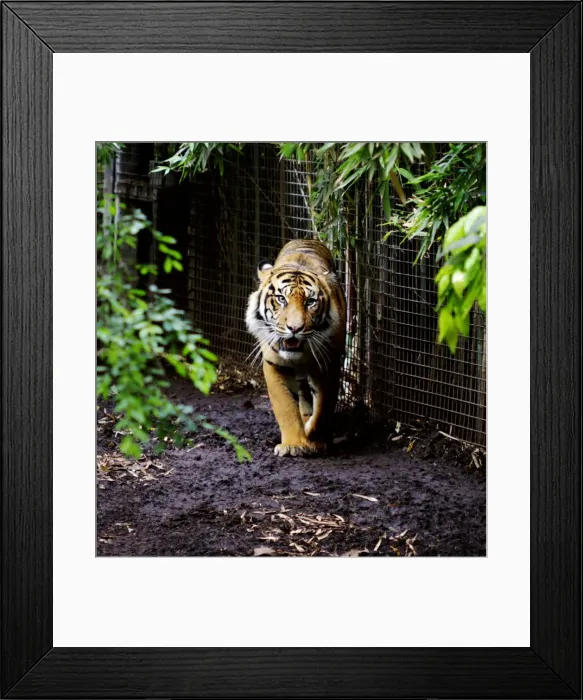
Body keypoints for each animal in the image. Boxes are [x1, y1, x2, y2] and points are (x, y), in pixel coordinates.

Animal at [246, 239, 346, 457]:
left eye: (311, 302)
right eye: (281, 299)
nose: (295, 328)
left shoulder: (329, 365)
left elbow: (323, 407)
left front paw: (315, 439)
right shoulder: (274, 364)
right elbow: (285, 406)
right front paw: (293, 444)